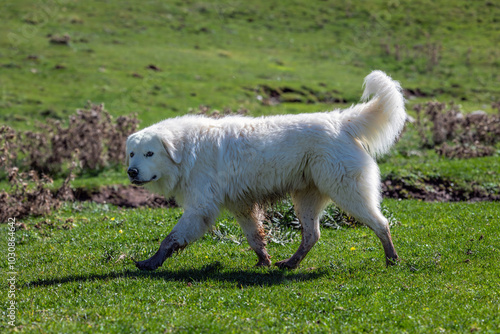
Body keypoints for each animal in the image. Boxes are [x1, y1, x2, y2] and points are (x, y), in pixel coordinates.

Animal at [126, 71, 406, 272]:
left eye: (150, 153)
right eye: (131, 153)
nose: (131, 172)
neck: (186, 151)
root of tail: (340, 121)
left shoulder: (200, 208)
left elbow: (171, 238)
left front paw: (150, 262)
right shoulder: (241, 205)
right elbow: (254, 237)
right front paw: (263, 261)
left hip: (348, 192)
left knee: (381, 223)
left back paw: (392, 259)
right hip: (307, 198)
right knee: (312, 235)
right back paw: (290, 263)